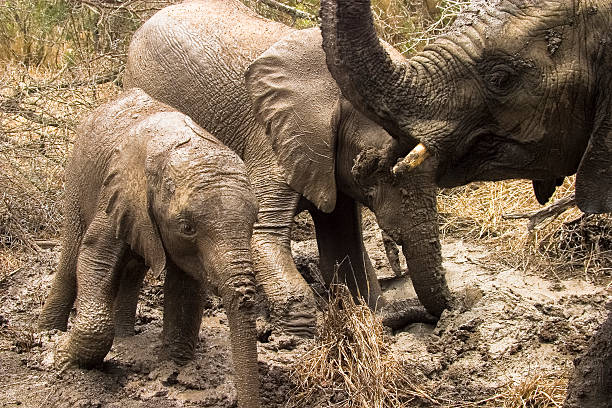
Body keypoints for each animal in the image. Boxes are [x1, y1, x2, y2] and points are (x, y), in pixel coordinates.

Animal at [38, 88, 258, 408]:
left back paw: (126, 340)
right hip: (78, 175)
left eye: (255, 221)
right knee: (70, 257)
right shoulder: (119, 192)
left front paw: (174, 371)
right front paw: (63, 361)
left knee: (132, 269)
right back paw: (47, 333)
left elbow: (186, 286)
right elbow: (95, 259)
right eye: (187, 227)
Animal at [123, 0, 450, 338]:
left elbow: (343, 244)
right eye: (376, 166)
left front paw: (371, 316)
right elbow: (261, 235)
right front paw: (300, 335)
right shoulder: (273, 141)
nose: (440, 313)